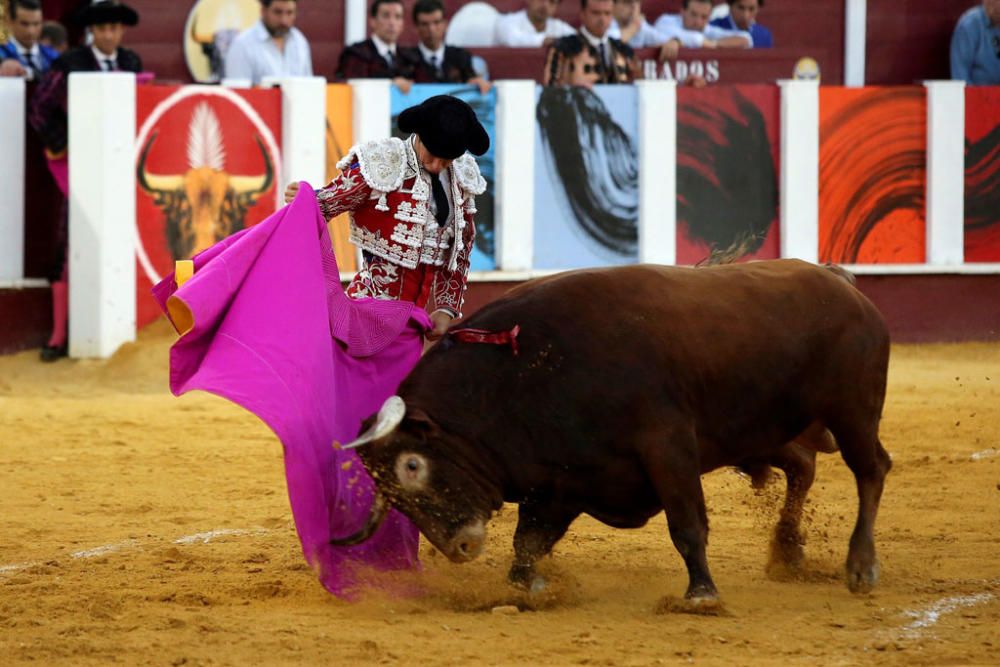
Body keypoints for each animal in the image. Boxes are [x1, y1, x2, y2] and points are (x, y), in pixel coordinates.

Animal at [334, 260, 892, 612]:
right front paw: (528, 589)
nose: (461, 547)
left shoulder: (667, 446)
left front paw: (701, 595)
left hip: (851, 411)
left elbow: (687, 525)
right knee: (803, 465)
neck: (524, 372)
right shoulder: (560, 480)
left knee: (870, 469)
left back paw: (861, 566)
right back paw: (790, 552)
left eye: (412, 465)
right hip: (764, 429)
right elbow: (527, 543)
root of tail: (841, 282)